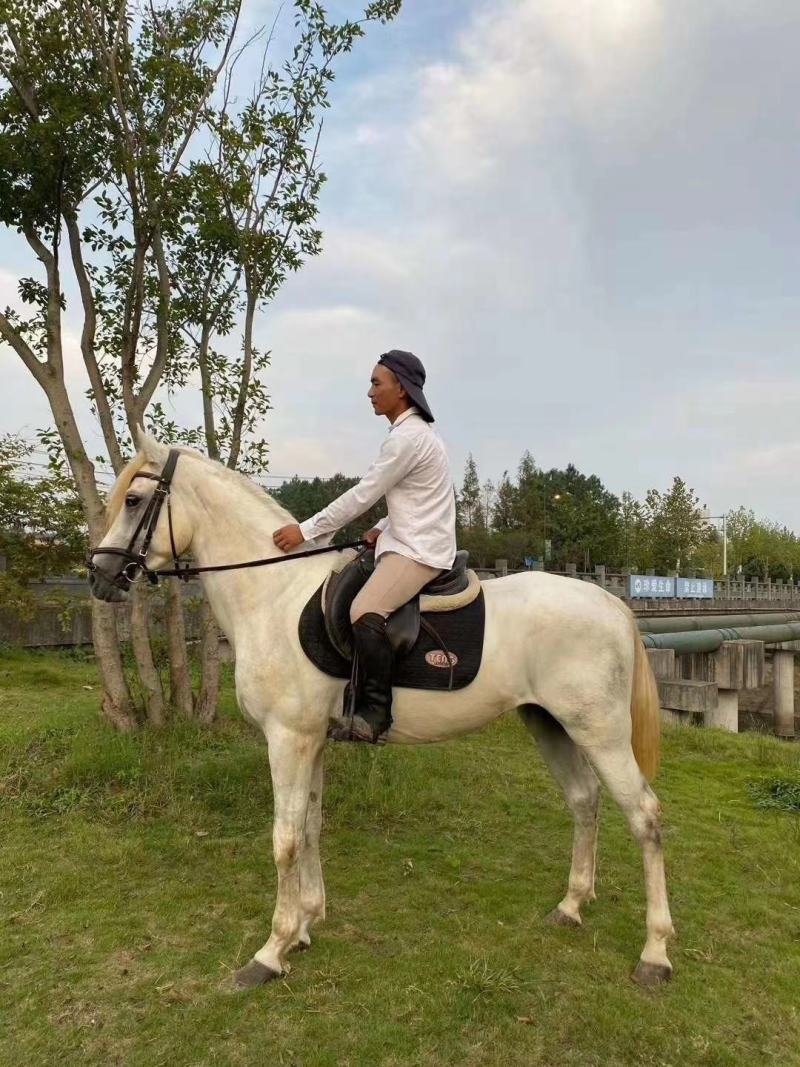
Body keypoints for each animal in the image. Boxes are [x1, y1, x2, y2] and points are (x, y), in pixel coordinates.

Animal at [89, 431, 674, 990]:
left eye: (134, 500)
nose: (99, 576)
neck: (275, 594)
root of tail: (610, 603)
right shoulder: (312, 740)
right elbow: (310, 827)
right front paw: (306, 925)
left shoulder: (287, 738)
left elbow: (284, 839)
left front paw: (270, 952)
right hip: (551, 724)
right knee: (584, 800)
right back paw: (571, 906)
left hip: (599, 732)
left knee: (644, 816)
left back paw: (655, 953)